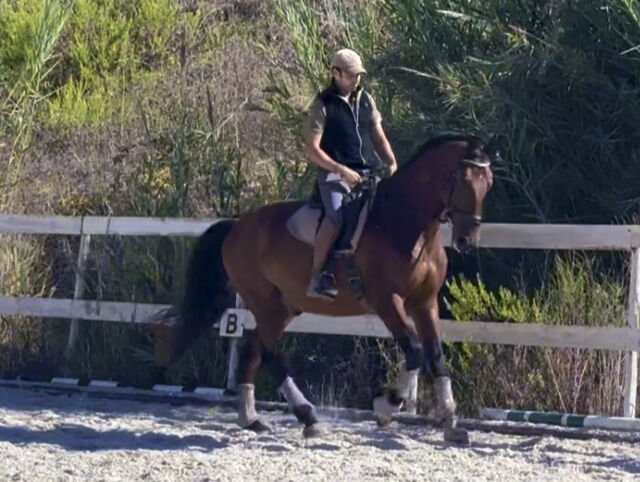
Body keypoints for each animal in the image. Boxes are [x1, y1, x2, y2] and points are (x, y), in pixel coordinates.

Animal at [156, 132, 496, 444]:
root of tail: (236, 227)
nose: (467, 240)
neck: (406, 224)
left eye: (488, 184)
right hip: (266, 303)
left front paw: (451, 423)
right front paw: (386, 407)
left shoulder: (424, 302)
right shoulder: (387, 300)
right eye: (464, 181)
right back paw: (306, 416)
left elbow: (435, 356)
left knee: (254, 350)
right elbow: (413, 350)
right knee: (268, 352)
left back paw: (252, 418)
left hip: (282, 307)